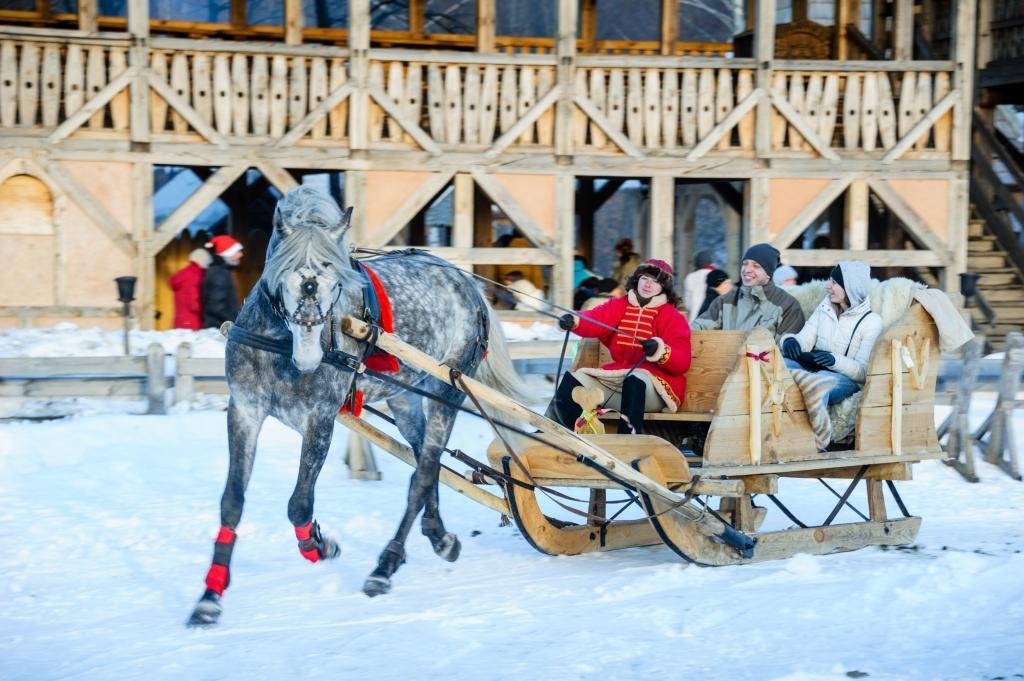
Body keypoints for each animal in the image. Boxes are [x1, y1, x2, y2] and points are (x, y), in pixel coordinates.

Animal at [185, 186, 532, 626]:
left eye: (335, 282)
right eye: (283, 274)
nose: (311, 357)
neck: (281, 347)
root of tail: (468, 284)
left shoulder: (319, 419)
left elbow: (299, 504)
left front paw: (319, 545)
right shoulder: (245, 409)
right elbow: (232, 500)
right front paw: (210, 594)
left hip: (448, 388)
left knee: (422, 473)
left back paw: (386, 564)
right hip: (405, 397)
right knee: (428, 462)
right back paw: (439, 537)